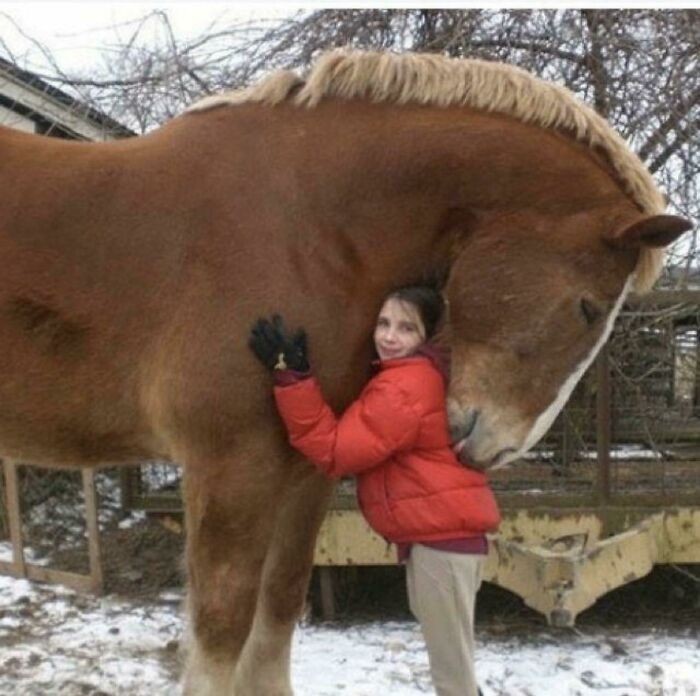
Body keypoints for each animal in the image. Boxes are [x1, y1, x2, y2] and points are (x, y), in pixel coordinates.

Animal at [0, 51, 692, 692]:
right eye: (588, 306)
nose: (494, 448)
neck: (302, 226)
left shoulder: (304, 470)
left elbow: (278, 610)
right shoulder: (231, 468)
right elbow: (222, 629)